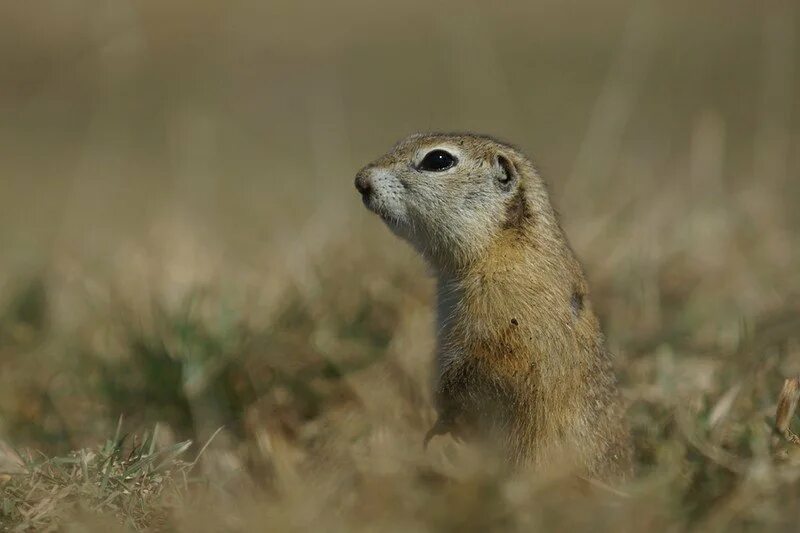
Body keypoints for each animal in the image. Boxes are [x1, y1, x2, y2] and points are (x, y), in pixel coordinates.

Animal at [356, 132, 632, 478]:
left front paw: (443, 423)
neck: (500, 248)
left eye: (438, 160)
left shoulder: (506, 320)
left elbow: (486, 371)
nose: (360, 180)